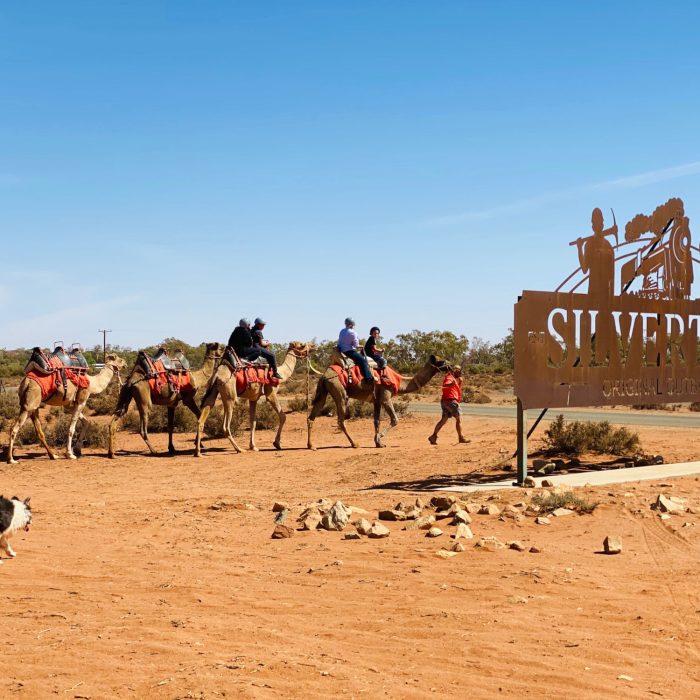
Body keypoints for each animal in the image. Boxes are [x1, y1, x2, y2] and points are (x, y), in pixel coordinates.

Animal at [308, 356, 452, 448]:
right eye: (441, 360)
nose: (452, 366)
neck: (400, 381)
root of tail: (324, 375)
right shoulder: (385, 397)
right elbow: (395, 420)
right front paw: (380, 438)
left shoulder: (376, 401)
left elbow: (376, 421)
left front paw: (378, 443)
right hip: (340, 392)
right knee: (341, 420)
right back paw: (355, 444)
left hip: (323, 391)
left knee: (312, 416)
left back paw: (311, 445)